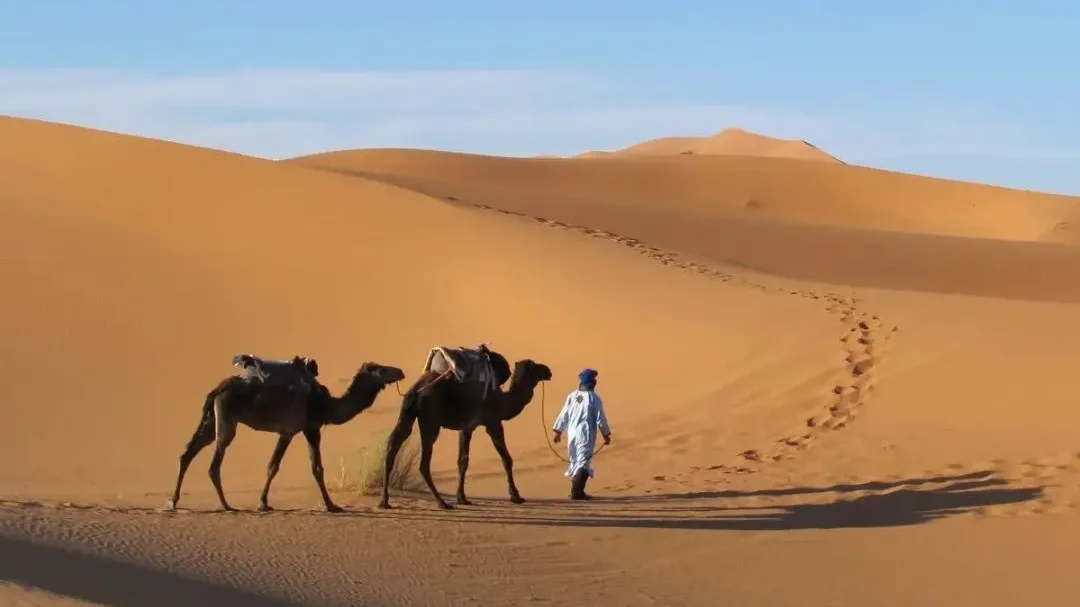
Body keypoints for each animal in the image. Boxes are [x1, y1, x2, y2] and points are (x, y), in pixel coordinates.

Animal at [164, 356, 406, 513]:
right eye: (381, 370)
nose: (401, 371)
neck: (325, 405)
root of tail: (218, 388)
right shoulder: (302, 429)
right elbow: (305, 467)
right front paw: (332, 506)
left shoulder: (302, 429)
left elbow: (285, 465)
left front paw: (264, 502)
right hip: (227, 419)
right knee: (214, 462)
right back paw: (226, 506)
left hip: (211, 419)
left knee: (188, 452)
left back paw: (173, 502)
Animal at [378, 347, 552, 510]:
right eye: (535, 366)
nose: (549, 371)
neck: (504, 401)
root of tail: (415, 390)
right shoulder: (493, 423)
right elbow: (506, 459)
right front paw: (516, 496)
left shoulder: (467, 428)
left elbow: (463, 460)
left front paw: (462, 498)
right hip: (430, 421)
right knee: (424, 462)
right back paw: (442, 503)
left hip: (407, 414)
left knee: (392, 446)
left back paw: (384, 501)